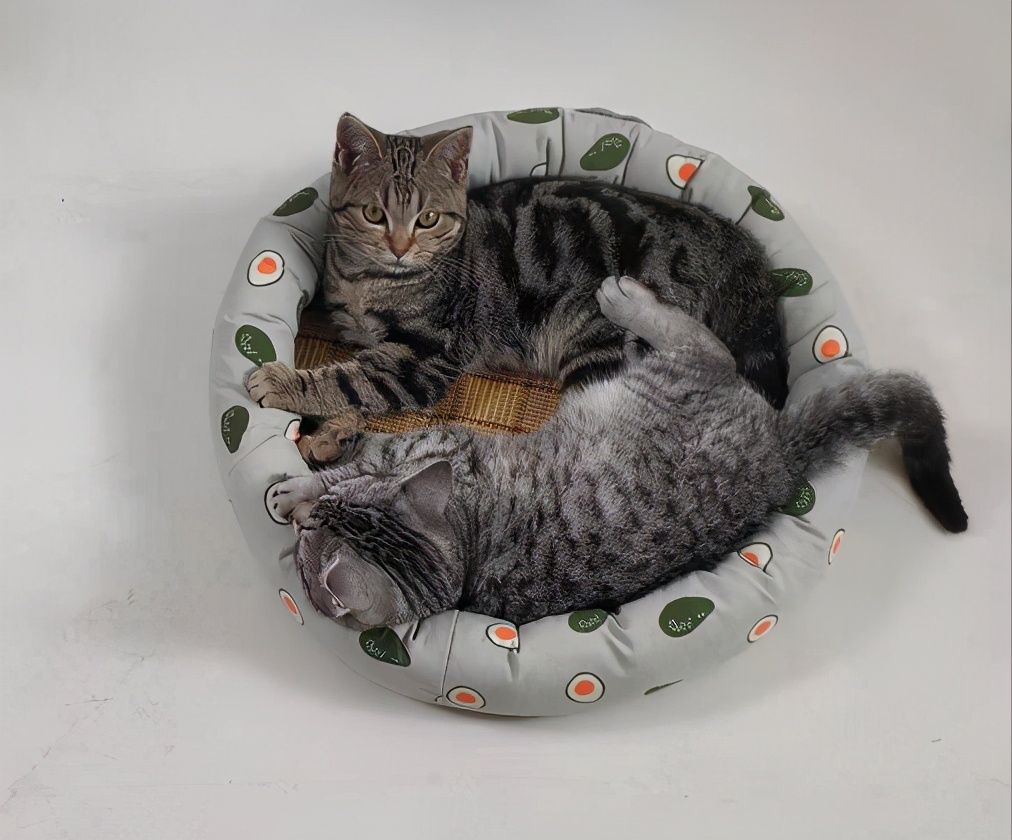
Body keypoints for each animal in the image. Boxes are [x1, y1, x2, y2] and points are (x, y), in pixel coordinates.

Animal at [246, 113, 789, 463]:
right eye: (374, 213)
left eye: (428, 219)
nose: (400, 247)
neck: (368, 282)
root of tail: (736, 245)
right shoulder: (359, 339)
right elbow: (348, 385)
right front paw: (329, 433)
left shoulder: (422, 358)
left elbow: (348, 382)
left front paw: (284, 384)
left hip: (601, 346)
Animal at [268, 276, 968, 630]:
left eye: (313, 543)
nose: (312, 522)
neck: (465, 553)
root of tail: (779, 451)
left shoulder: (427, 443)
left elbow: (362, 459)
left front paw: (298, 491)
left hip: (676, 373)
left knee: (704, 342)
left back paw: (625, 299)